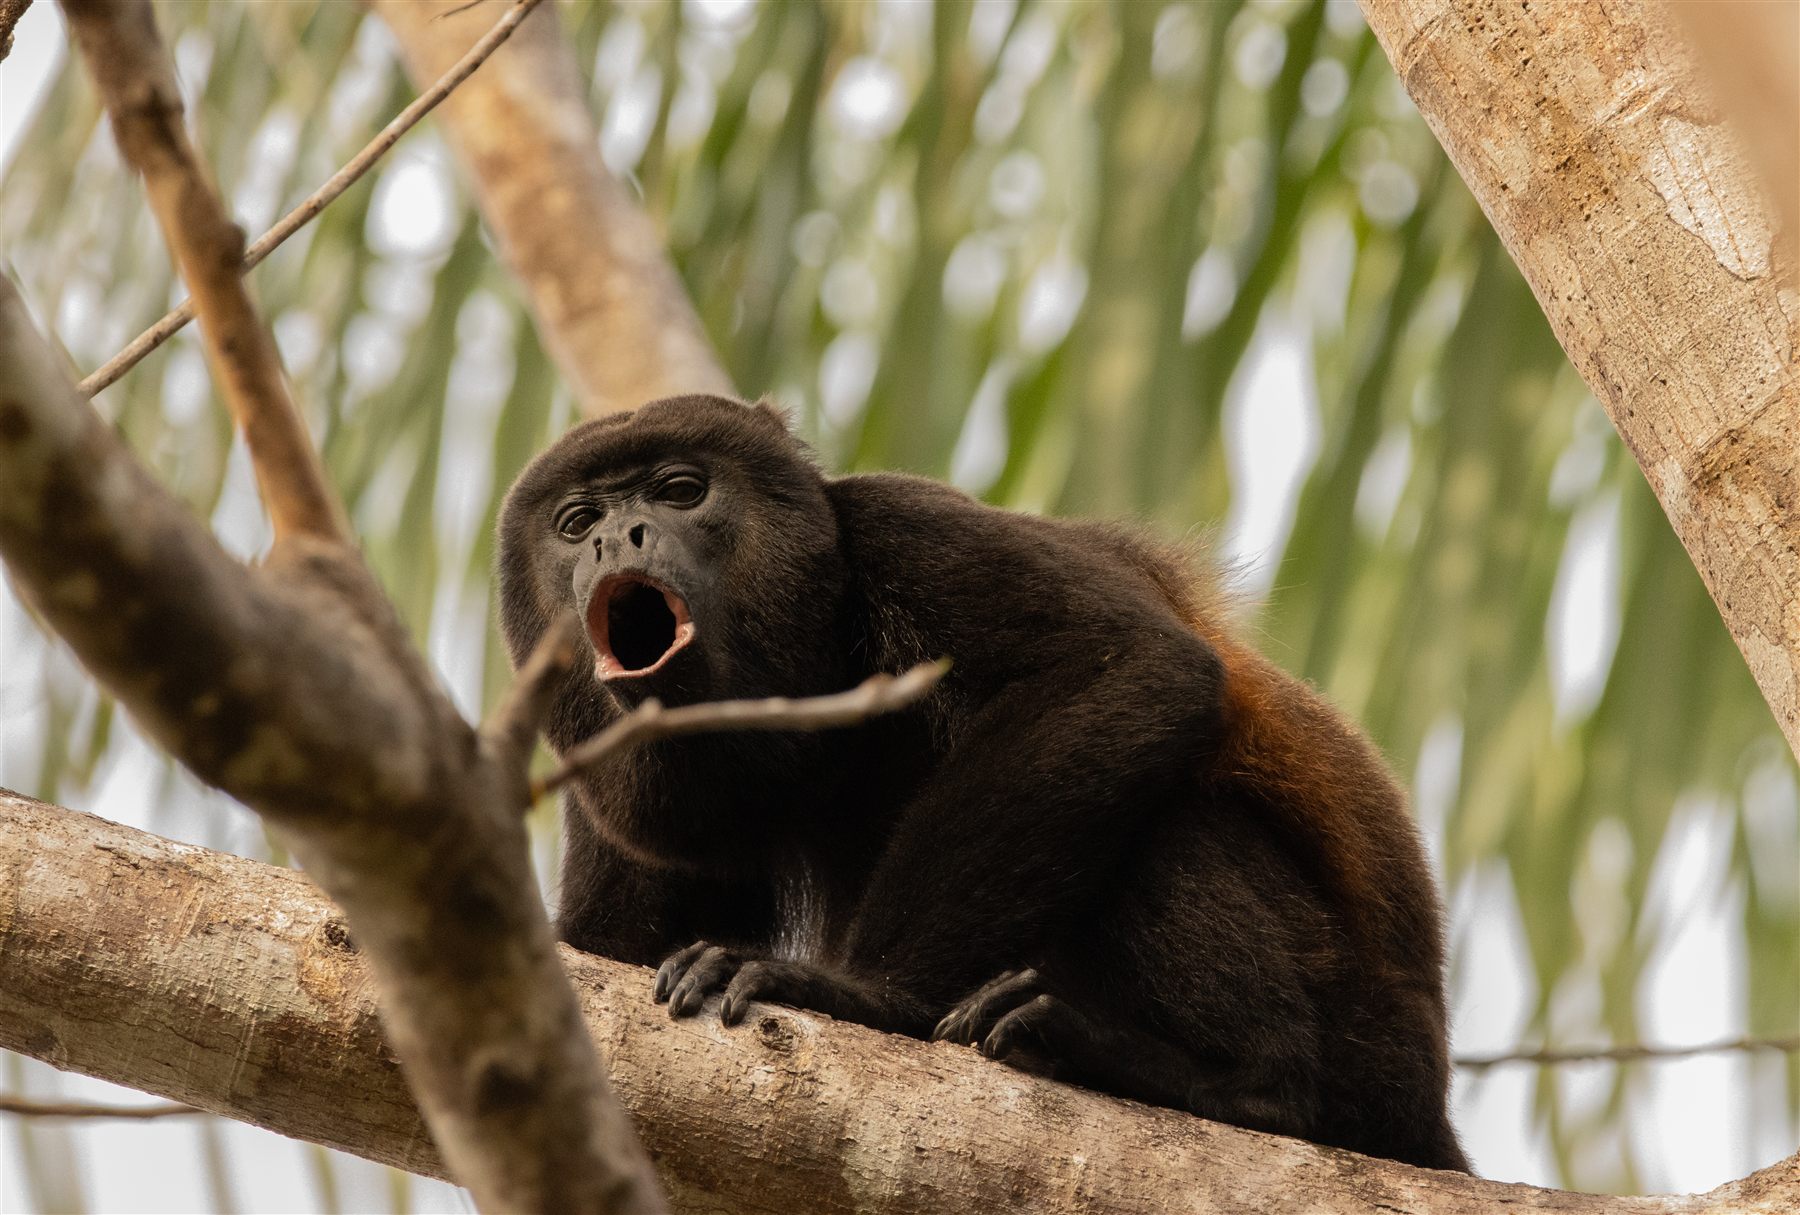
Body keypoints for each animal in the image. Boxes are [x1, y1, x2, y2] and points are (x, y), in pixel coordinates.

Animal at [497, 393, 1470, 1173]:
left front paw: (863, 996)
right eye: (578, 521)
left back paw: (1239, 1083)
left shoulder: (905, 524)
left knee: (1167, 815)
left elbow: (1130, 665)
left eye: (680, 492)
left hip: (1359, 1028)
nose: (617, 538)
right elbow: (608, 945)